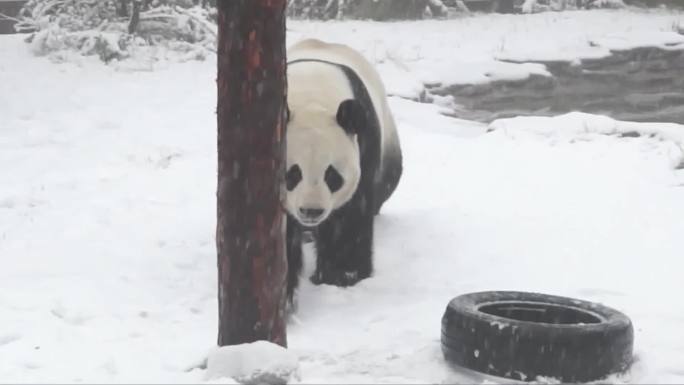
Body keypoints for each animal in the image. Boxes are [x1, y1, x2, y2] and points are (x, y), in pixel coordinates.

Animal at [286, 39, 404, 304]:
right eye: (292, 174)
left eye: (332, 176)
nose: (311, 211)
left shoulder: (364, 142)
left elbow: (349, 216)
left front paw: (340, 277)